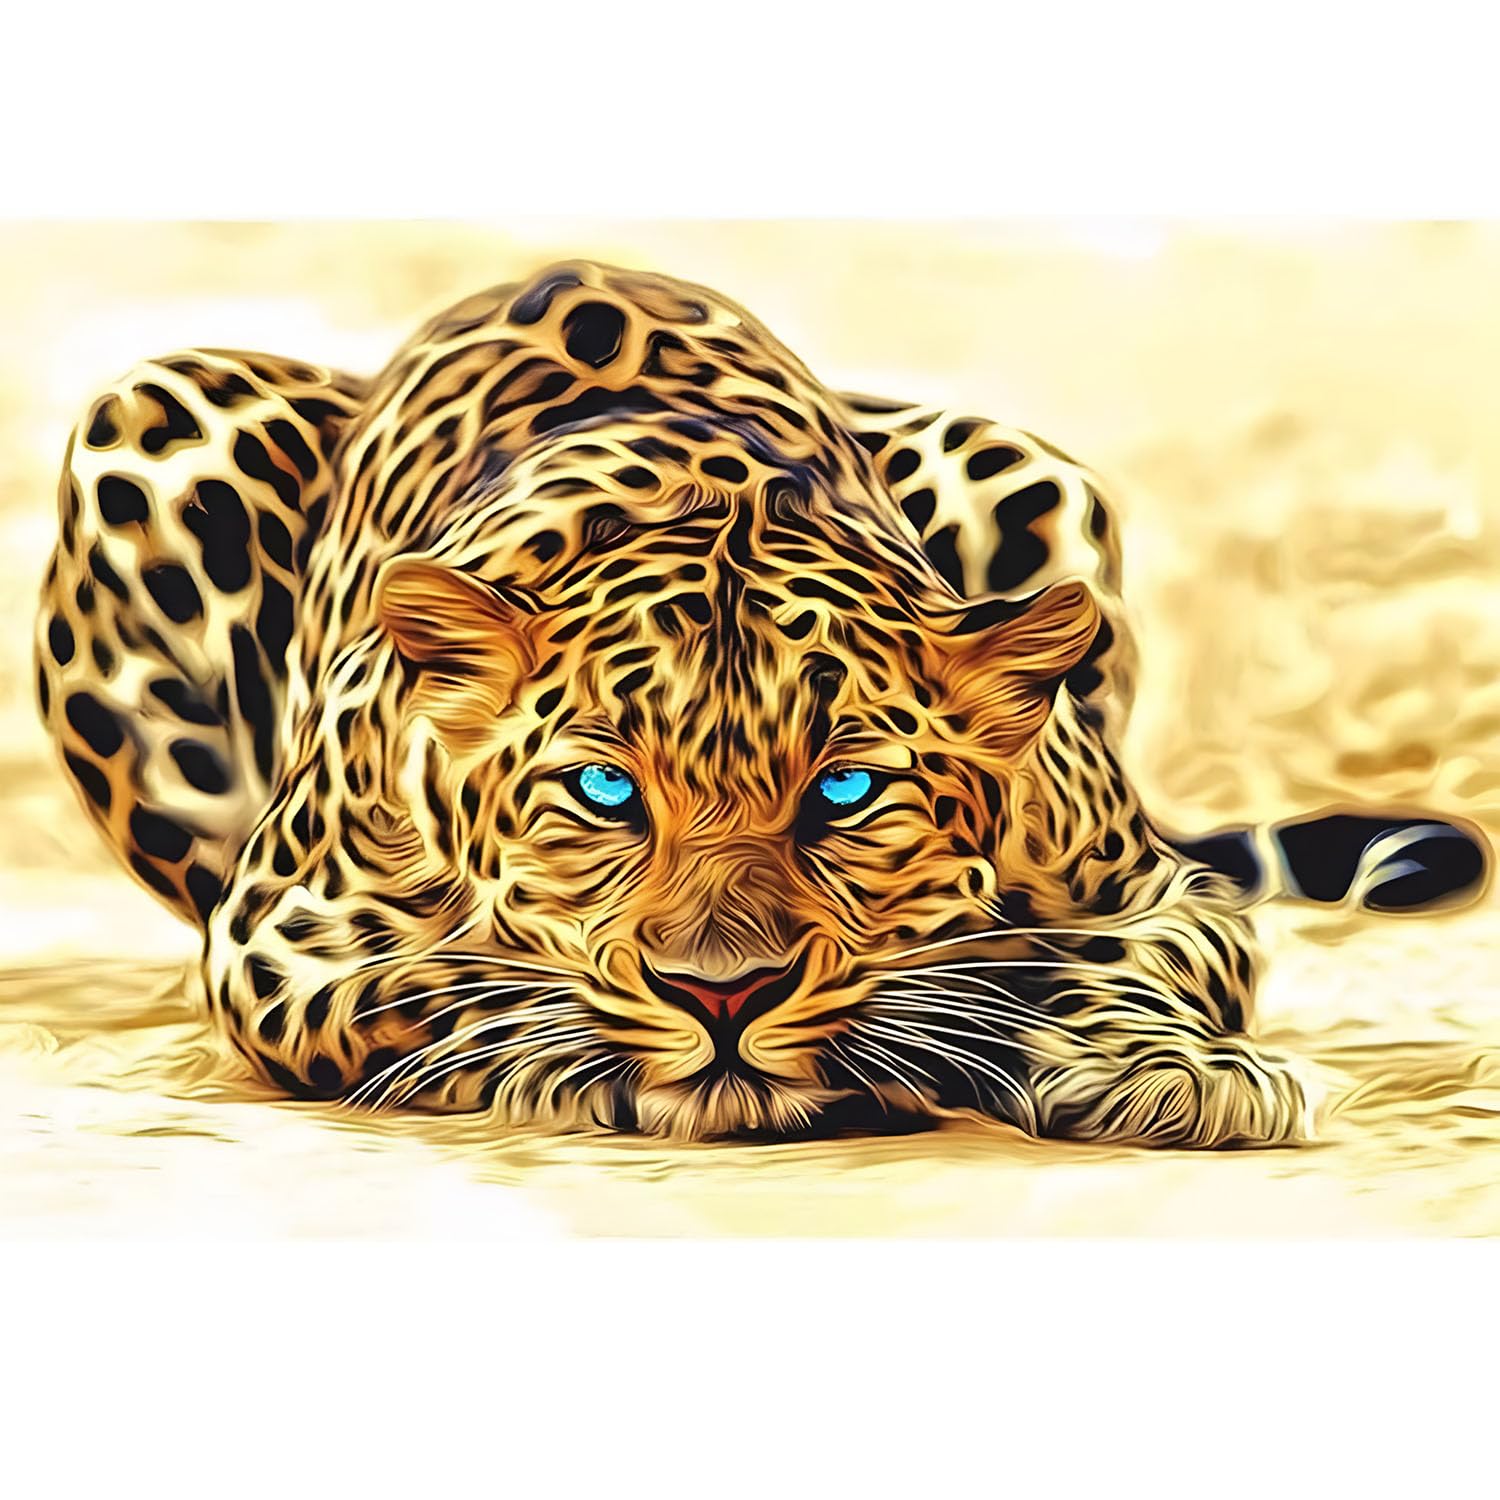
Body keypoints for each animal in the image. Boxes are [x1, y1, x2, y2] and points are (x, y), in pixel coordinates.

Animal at [33, 259, 1490, 1145]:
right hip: (149, 414)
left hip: (1025, 464)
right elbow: (443, 983)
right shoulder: (285, 931)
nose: (721, 998)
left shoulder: (1154, 889)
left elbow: (1096, 958)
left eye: (846, 791)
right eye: (604, 790)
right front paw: (573, 1054)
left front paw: (1164, 1069)